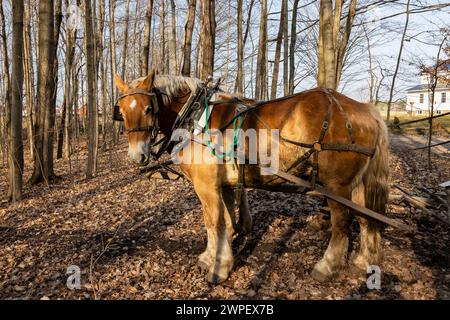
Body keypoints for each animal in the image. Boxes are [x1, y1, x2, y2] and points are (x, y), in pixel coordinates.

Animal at [113, 69, 390, 282]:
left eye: (148, 109)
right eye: (122, 112)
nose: (138, 155)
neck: (195, 118)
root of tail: (367, 110)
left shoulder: (205, 185)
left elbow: (214, 223)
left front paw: (219, 267)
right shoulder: (223, 183)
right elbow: (224, 221)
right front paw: (212, 256)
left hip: (336, 185)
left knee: (342, 223)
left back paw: (327, 265)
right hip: (358, 184)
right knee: (366, 218)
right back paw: (364, 262)